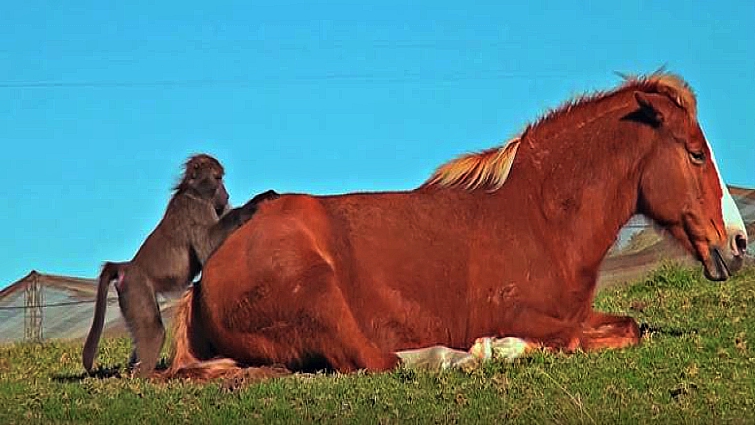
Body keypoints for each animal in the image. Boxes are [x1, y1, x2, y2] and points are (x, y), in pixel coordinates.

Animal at [82, 154, 279, 378]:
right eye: (218, 178)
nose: (226, 195)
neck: (193, 193)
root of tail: (127, 267)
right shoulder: (196, 209)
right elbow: (207, 249)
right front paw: (255, 204)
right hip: (136, 289)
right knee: (153, 331)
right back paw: (145, 377)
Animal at [165, 72, 747, 380]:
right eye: (696, 153)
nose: (738, 244)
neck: (541, 219)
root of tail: (208, 274)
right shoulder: (528, 315)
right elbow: (574, 339)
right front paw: (499, 347)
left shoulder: (579, 312)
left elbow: (629, 326)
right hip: (318, 295)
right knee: (373, 360)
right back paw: (460, 355)